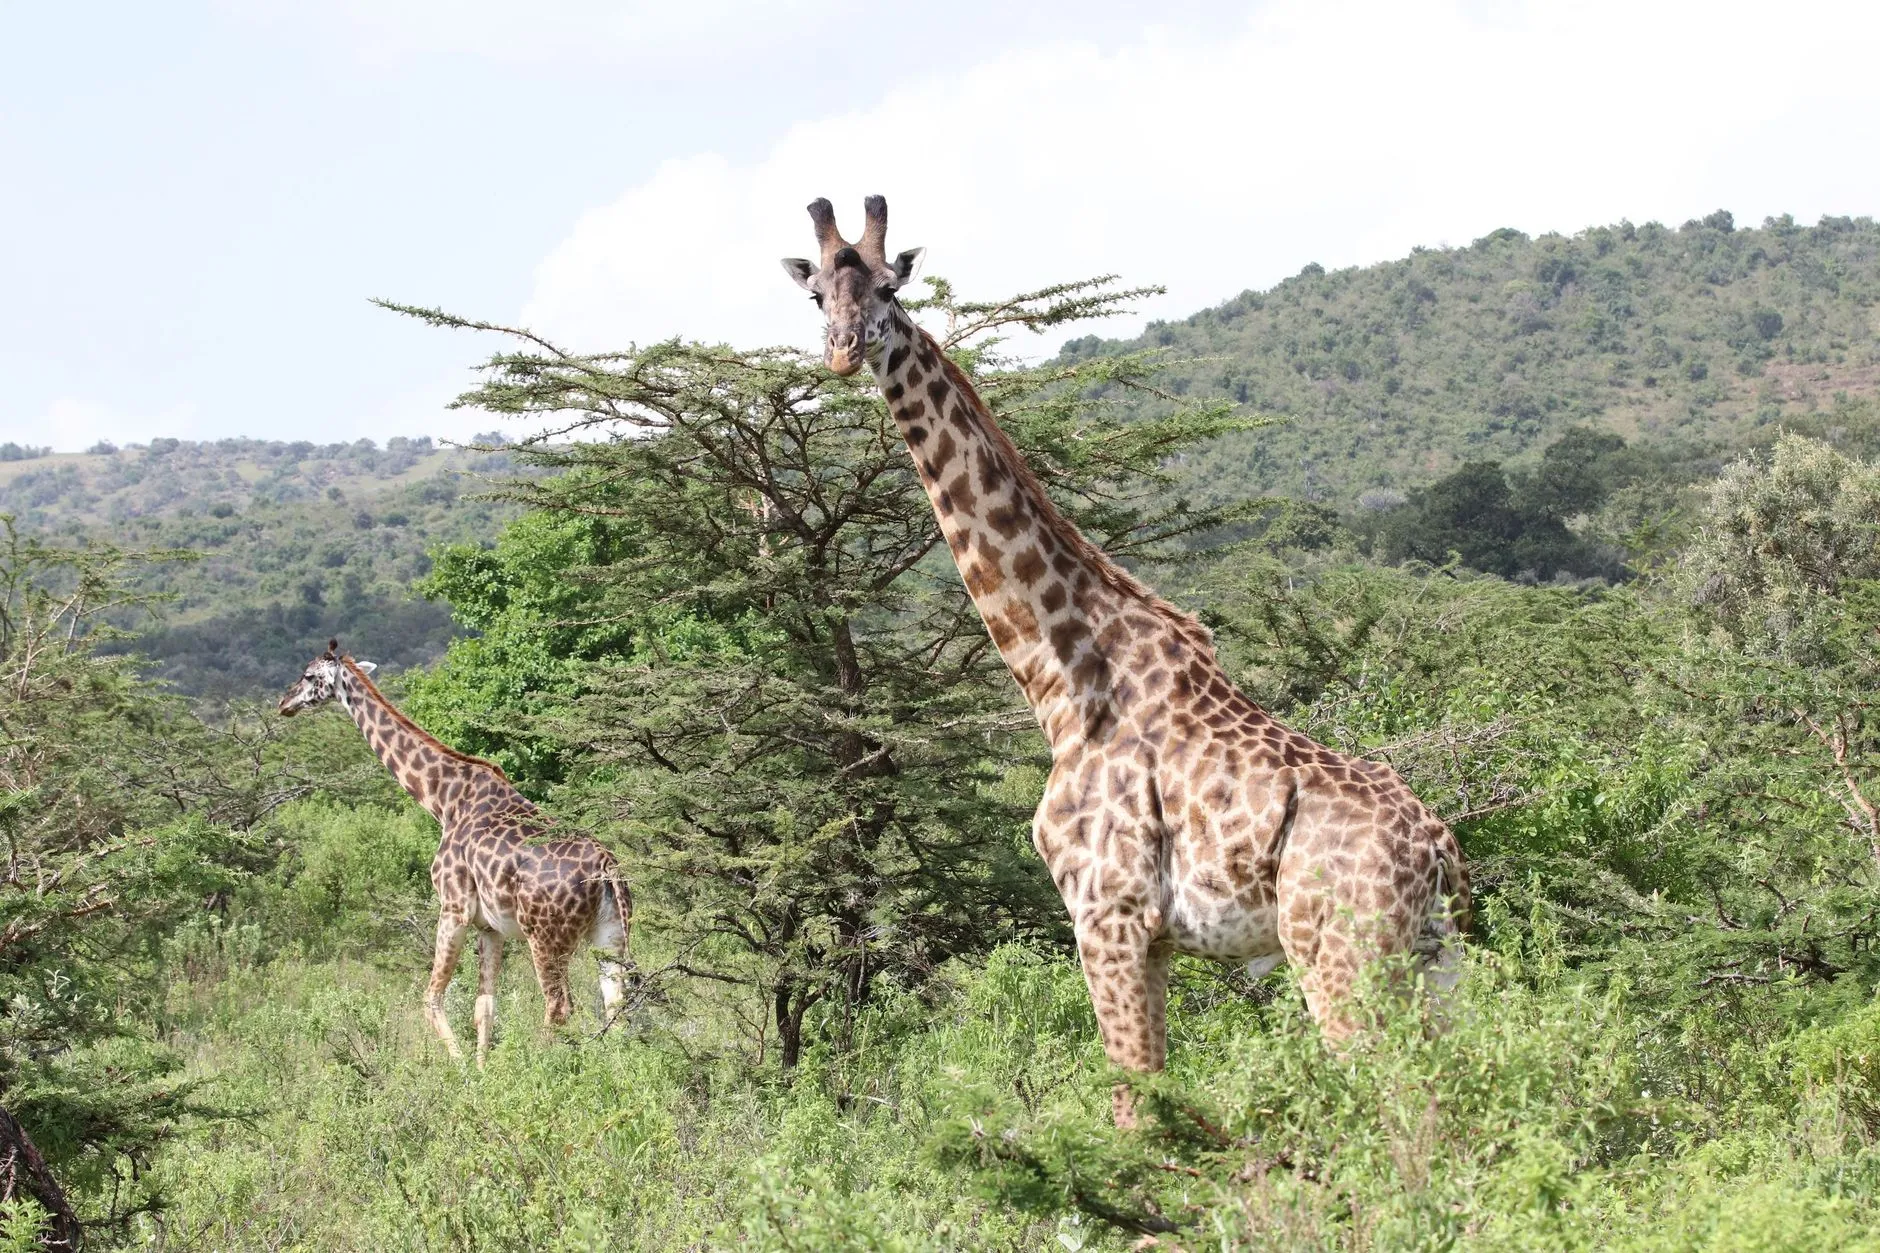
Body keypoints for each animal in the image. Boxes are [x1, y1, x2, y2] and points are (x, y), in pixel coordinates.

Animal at [278, 640, 632, 1069]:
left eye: (309, 675)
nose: (284, 703)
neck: (442, 800)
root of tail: (607, 868)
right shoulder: (490, 927)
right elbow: (485, 1007)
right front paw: (482, 1071)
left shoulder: (453, 907)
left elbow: (431, 998)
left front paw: (463, 1070)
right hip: (610, 934)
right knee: (616, 1005)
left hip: (546, 936)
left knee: (559, 1006)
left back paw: (536, 1070)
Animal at [782, 198, 1469, 1124]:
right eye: (817, 294)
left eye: (891, 286)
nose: (846, 349)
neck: (1064, 679)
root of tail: (1437, 845)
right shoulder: (1153, 939)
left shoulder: (1108, 915)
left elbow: (1133, 1109)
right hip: (1436, 957)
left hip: (1342, 955)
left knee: (1405, 1112)